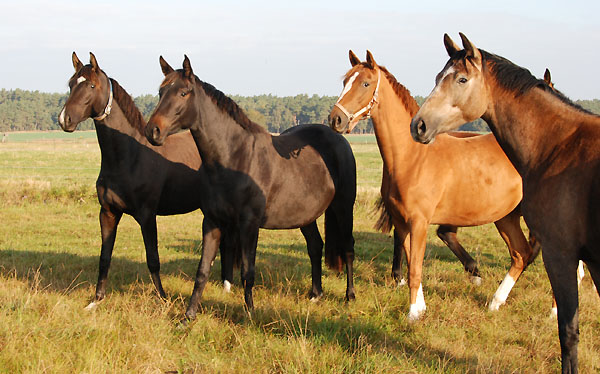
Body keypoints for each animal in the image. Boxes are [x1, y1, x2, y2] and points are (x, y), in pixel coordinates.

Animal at [56, 52, 234, 310]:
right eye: (71, 84)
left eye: (91, 85)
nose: (64, 119)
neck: (129, 156)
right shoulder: (108, 213)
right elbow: (104, 258)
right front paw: (96, 301)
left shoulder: (147, 215)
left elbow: (153, 259)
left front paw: (163, 299)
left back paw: (228, 286)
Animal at [145, 55, 356, 322]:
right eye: (161, 92)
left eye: (183, 92)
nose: (152, 130)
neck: (234, 158)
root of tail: (338, 138)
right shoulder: (212, 222)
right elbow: (202, 271)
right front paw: (188, 316)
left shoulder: (249, 225)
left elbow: (248, 271)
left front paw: (250, 314)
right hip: (305, 216)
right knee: (315, 246)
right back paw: (315, 294)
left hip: (343, 207)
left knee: (348, 248)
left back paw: (350, 296)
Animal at [328, 49, 540, 322]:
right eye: (345, 81)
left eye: (365, 83)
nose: (336, 119)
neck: (413, 157)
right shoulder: (402, 223)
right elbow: (411, 264)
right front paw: (420, 309)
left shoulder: (419, 222)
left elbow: (415, 269)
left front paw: (412, 315)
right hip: (506, 217)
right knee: (521, 254)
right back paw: (495, 302)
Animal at [410, 32, 600, 374]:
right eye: (437, 78)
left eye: (461, 79)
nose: (418, 125)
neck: (561, 143)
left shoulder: (561, 252)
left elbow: (568, 331)